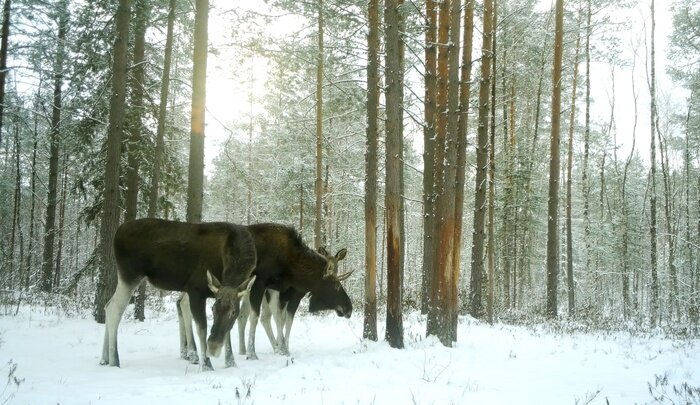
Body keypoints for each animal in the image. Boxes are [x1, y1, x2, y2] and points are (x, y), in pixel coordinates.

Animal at [101, 218, 258, 370]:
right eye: (213, 309)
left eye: (233, 312)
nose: (213, 348)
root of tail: (118, 232)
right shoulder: (196, 290)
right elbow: (202, 328)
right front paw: (207, 365)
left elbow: (228, 330)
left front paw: (231, 363)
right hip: (129, 275)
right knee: (115, 309)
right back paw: (114, 360)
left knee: (108, 305)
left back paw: (104, 359)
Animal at [178, 223, 352, 362]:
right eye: (337, 285)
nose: (349, 308)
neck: (291, 268)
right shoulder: (263, 284)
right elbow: (262, 317)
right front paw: (259, 352)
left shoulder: (276, 289)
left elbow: (279, 318)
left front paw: (281, 347)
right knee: (185, 304)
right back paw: (193, 353)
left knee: (181, 303)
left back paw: (187, 352)